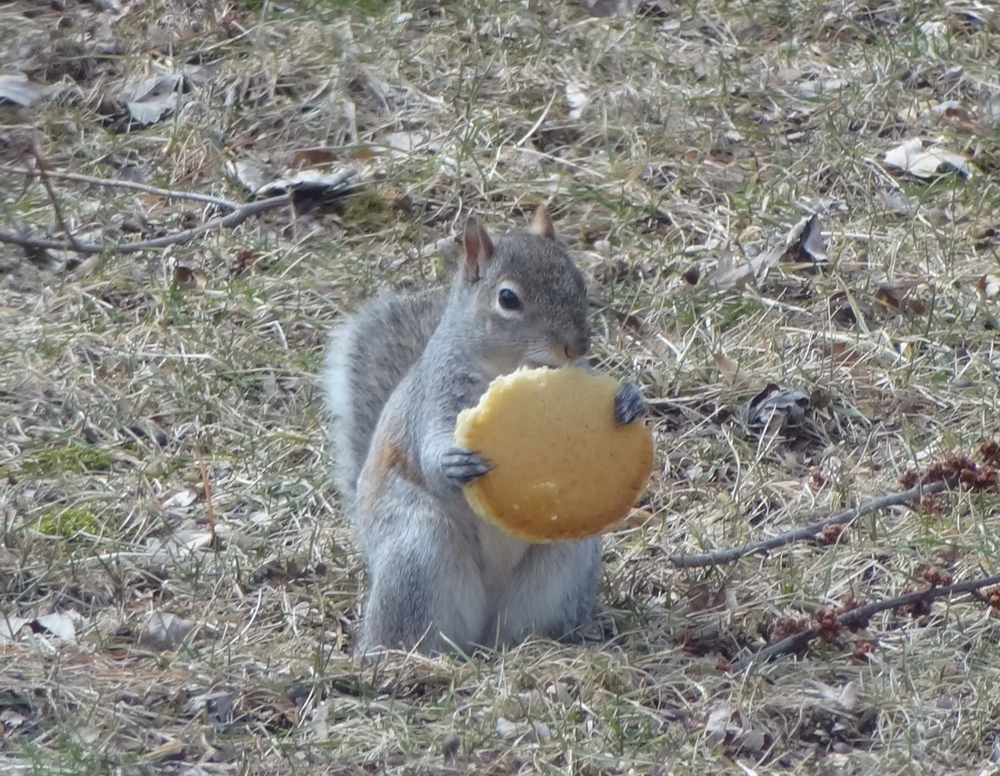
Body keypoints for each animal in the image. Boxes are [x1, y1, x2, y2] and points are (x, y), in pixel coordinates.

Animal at [324, 208, 644, 656]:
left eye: (579, 280)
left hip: (565, 563)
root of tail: (480, 637)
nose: (577, 347)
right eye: (507, 298)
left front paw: (630, 399)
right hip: (417, 549)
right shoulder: (435, 395)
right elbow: (428, 446)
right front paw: (452, 462)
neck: (508, 363)